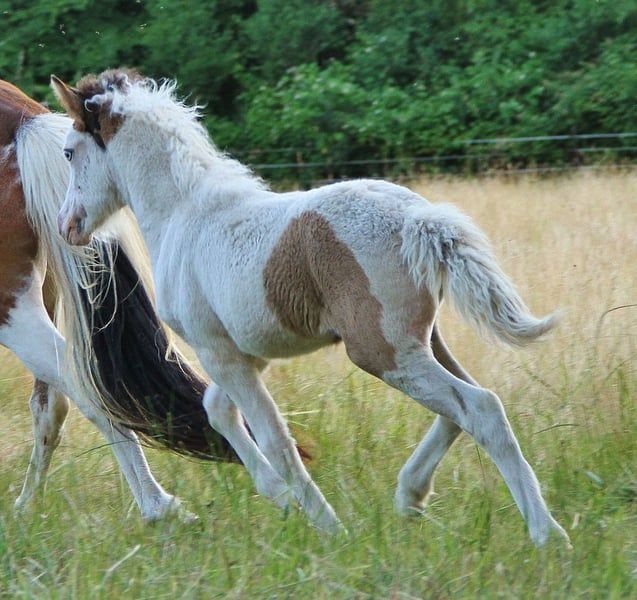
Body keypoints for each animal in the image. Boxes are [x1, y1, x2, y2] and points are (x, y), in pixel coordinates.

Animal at [0, 78, 243, 521]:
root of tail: (23, 121)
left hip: (12, 309)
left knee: (87, 390)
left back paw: (159, 508)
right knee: (52, 403)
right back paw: (26, 507)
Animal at [51, 69, 570, 546]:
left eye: (69, 151)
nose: (66, 226)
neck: (185, 214)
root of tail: (420, 219)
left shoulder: (219, 353)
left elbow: (276, 440)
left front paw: (329, 528)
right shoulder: (244, 353)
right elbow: (218, 410)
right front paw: (281, 498)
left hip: (381, 351)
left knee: (481, 409)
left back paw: (547, 533)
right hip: (419, 339)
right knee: (462, 406)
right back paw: (411, 495)